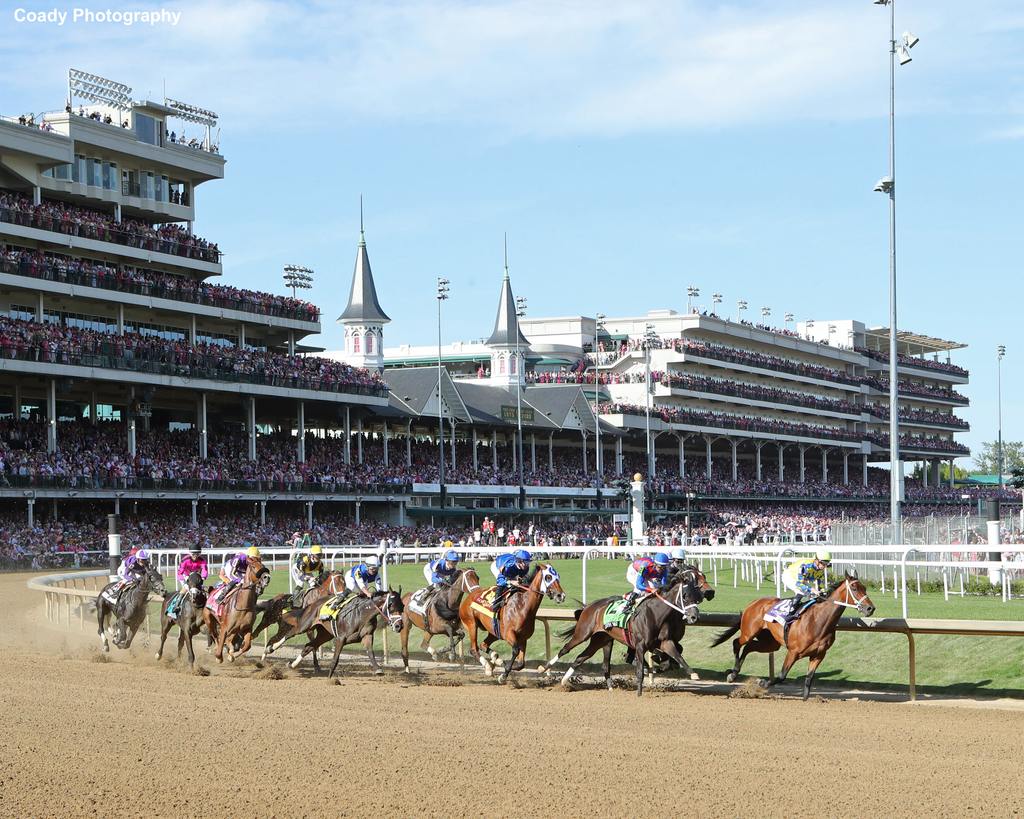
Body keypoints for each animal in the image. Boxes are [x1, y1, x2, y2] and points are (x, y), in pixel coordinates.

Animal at [544, 569, 704, 696]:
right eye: (685, 596)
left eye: (697, 597)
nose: (694, 617)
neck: (655, 614)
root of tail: (589, 606)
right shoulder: (640, 646)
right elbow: (639, 671)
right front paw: (639, 694)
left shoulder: (665, 642)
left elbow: (677, 656)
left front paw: (693, 674)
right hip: (583, 633)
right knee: (565, 649)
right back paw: (544, 668)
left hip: (602, 640)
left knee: (584, 659)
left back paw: (571, 683)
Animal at [708, 569, 876, 696]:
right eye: (854, 588)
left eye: (865, 588)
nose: (870, 608)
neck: (819, 621)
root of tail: (753, 603)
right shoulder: (793, 652)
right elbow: (782, 675)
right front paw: (762, 682)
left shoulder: (818, 655)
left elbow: (809, 679)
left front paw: (808, 699)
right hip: (749, 632)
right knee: (737, 642)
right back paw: (732, 674)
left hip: (770, 643)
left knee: (749, 647)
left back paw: (735, 672)